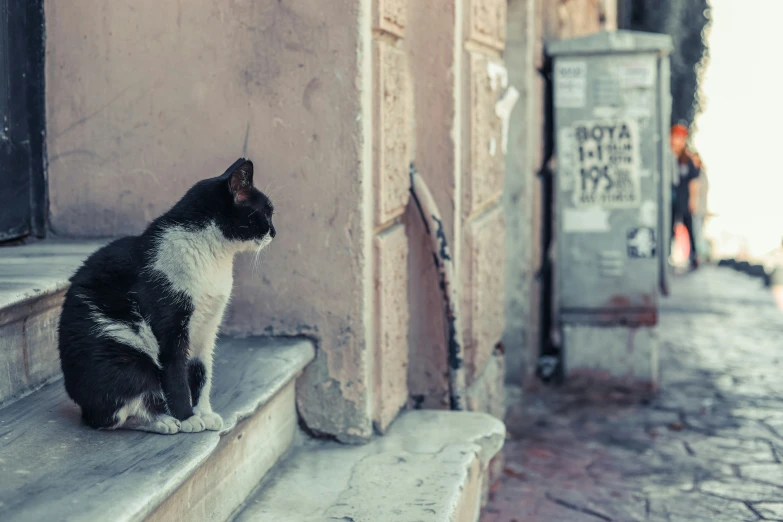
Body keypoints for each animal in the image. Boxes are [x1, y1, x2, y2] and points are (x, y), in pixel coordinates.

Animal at [58, 156, 274, 432]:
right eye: (266, 213)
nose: (274, 232)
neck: (214, 257)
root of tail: (85, 410)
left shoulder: (207, 328)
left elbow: (202, 372)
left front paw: (203, 412)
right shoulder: (169, 324)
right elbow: (176, 375)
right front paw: (187, 417)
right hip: (126, 360)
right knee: (120, 414)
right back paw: (163, 421)